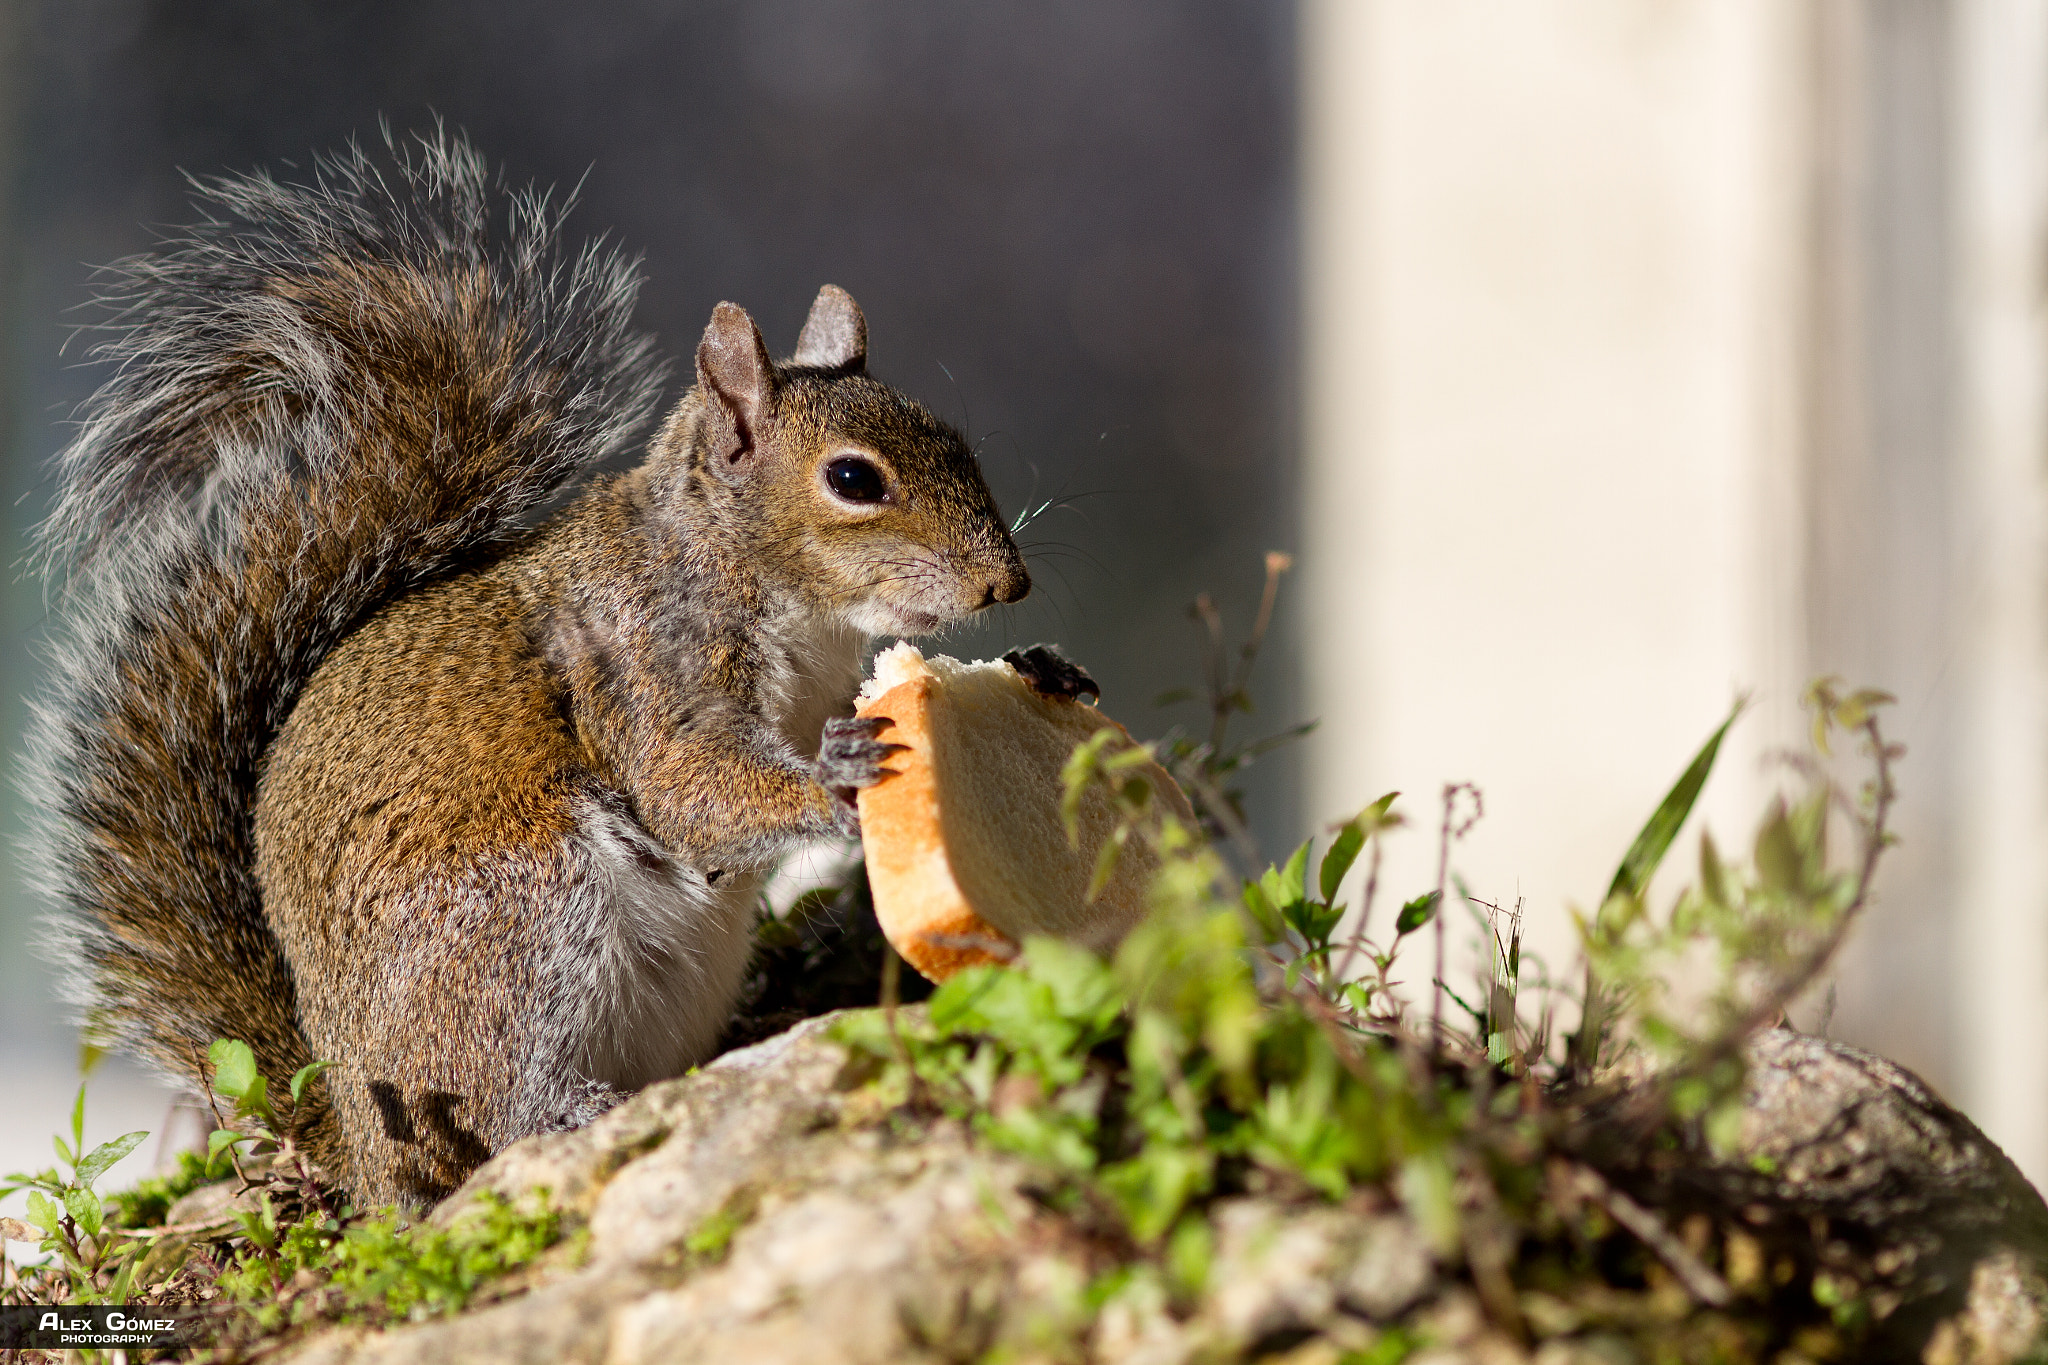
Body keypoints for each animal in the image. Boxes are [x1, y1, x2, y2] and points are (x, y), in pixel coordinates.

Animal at [22, 133, 1032, 1211]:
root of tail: (356, 1146)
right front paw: (841, 778)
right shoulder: (643, 665)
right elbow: (691, 790)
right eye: (852, 479)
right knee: (494, 1107)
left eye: (953, 437)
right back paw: (570, 1112)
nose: (1007, 582)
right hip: (515, 922)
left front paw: (1043, 670)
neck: (773, 593)